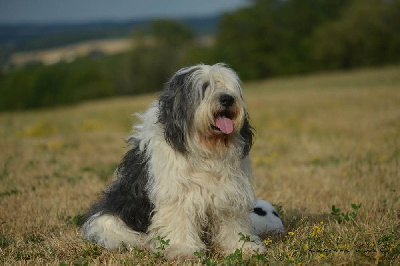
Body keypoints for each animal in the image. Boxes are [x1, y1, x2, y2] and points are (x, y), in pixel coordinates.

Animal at [80, 62, 268, 260]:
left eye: (227, 88)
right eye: (204, 87)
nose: (227, 99)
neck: (205, 148)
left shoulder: (229, 191)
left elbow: (232, 222)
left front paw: (243, 246)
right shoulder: (177, 194)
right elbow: (179, 220)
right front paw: (183, 250)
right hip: (109, 221)